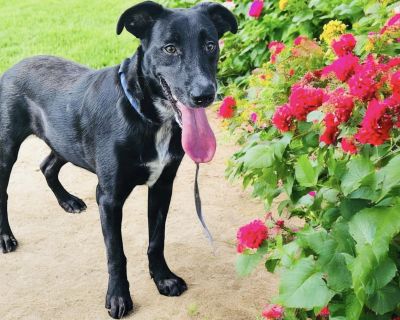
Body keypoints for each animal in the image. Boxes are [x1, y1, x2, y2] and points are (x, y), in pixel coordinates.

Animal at [0, 1, 238, 318]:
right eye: (170, 48)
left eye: (211, 45)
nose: (204, 95)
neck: (150, 117)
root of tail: (13, 66)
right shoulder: (109, 197)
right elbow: (116, 253)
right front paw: (118, 297)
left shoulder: (162, 186)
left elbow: (156, 240)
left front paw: (163, 278)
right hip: (7, 149)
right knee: (4, 191)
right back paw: (5, 237)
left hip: (64, 140)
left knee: (47, 166)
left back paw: (68, 201)